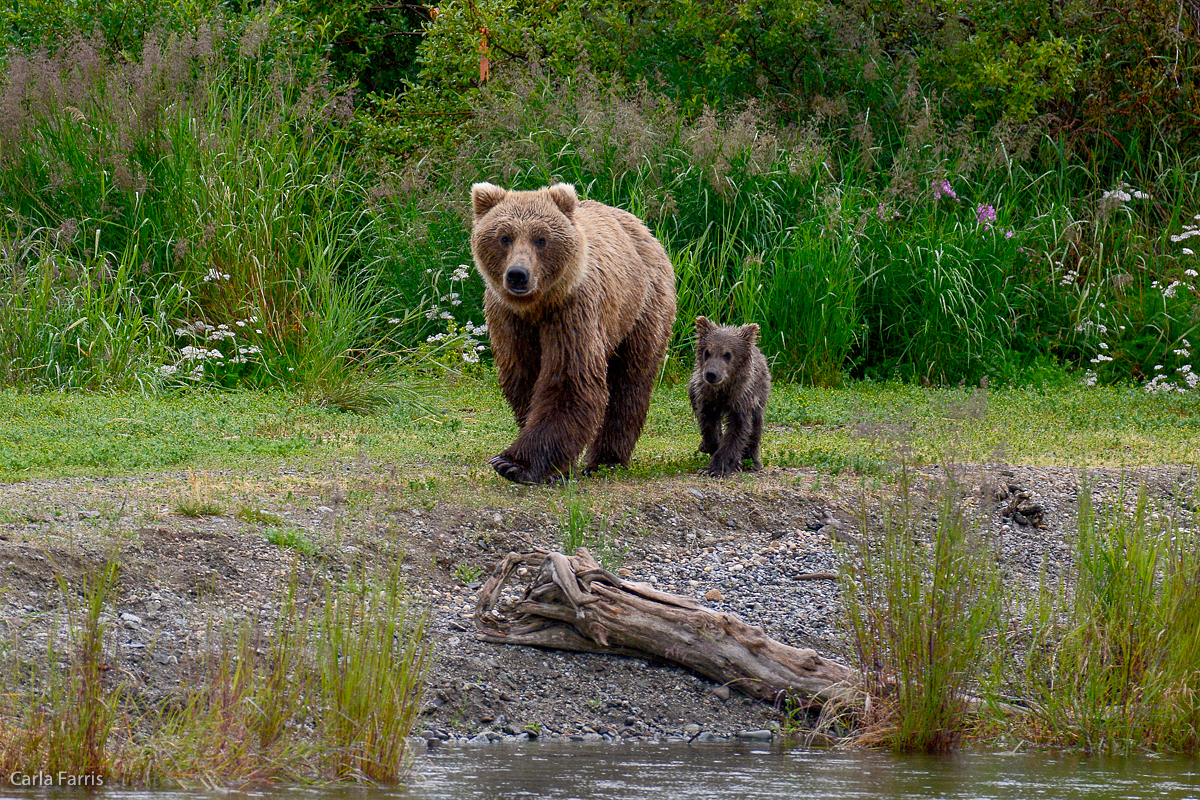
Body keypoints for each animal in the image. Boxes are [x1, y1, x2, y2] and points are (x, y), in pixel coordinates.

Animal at [468, 183, 676, 482]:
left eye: (541, 239)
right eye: (504, 237)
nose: (518, 274)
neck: (537, 306)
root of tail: (642, 228)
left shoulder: (572, 311)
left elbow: (569, 379)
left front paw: (513, 463)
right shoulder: (509, 321)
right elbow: (523, 378)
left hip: (641, 308)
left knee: (630, 380)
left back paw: (606, 458)